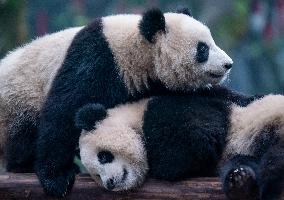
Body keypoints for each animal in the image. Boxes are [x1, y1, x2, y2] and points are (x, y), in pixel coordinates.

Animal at [0, 7, 233, 197]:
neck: (136, 47)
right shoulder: (97, 61)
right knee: (24, 134)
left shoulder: (150, 83)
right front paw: (56, 178)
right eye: (203, 49)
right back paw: (25, 165)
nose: (228, 64)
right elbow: (64, 111)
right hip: (18, 100)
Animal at [76, 87, 282, 200]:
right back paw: (240, 181)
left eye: (103, 156)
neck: (133, 116)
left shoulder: (171, 109)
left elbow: (197, 140)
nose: (109, 183)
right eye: (96, 175)